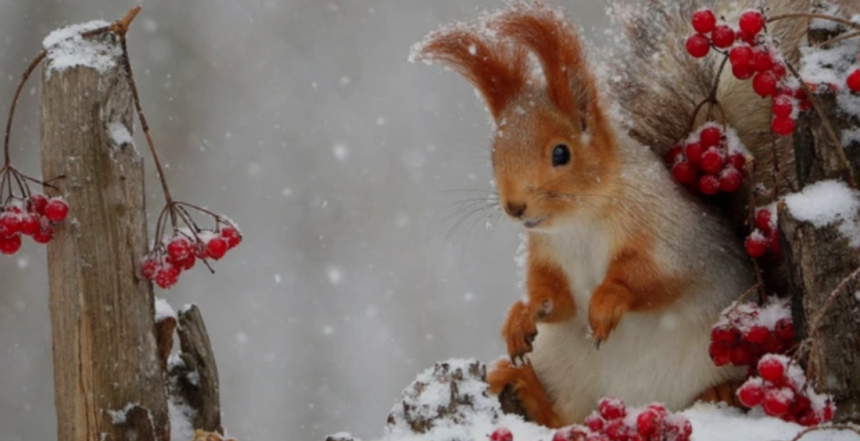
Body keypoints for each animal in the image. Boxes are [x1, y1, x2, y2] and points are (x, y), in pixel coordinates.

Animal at [408, 0, 848, 426]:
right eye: (494, 156)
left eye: (561, 153)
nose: (515, 207)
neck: (579, 223)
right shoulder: (548, 254)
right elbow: (556, 299)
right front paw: (522, 316)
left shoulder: (667, 237)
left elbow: (651, 279)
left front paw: (607, 301)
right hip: (567, 373)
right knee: (561, 418)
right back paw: (521, 383)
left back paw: (719, 392)